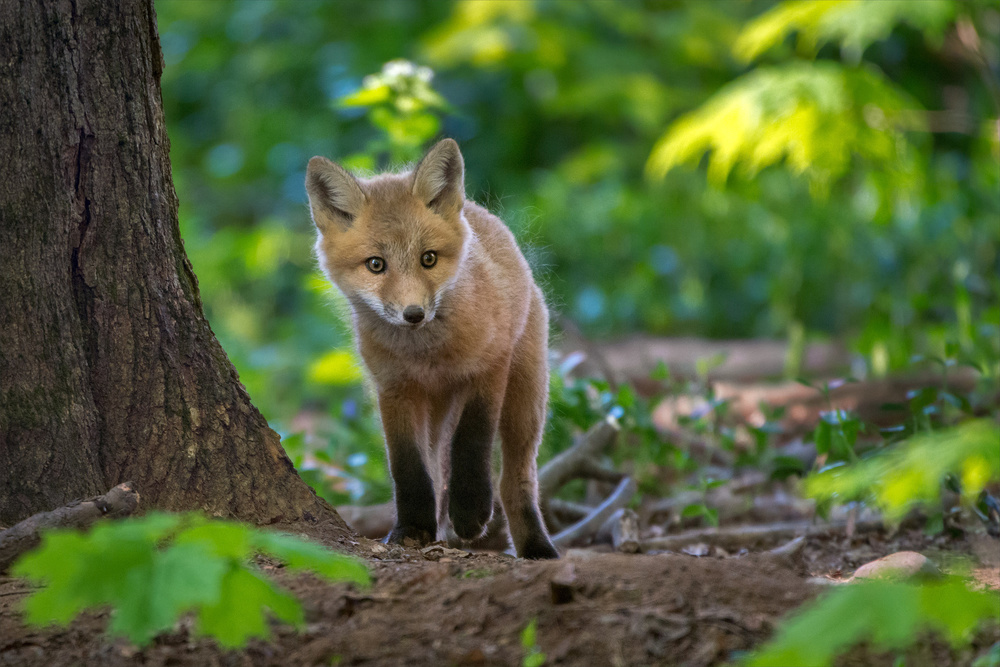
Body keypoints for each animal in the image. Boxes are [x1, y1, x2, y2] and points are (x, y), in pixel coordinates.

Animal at [304, 138, 560, 560]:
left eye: (428, 259)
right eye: (376, 265)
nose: (414, 314)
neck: (428, 357)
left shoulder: (490, 368)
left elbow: (471, 442)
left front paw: (470, 510)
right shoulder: (394, 388)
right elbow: (407, 466)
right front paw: (412, 527)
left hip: (526, 400)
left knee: (516, 480)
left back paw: (537, 547)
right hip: (435, 410)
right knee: (437, 471)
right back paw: (437, 527)